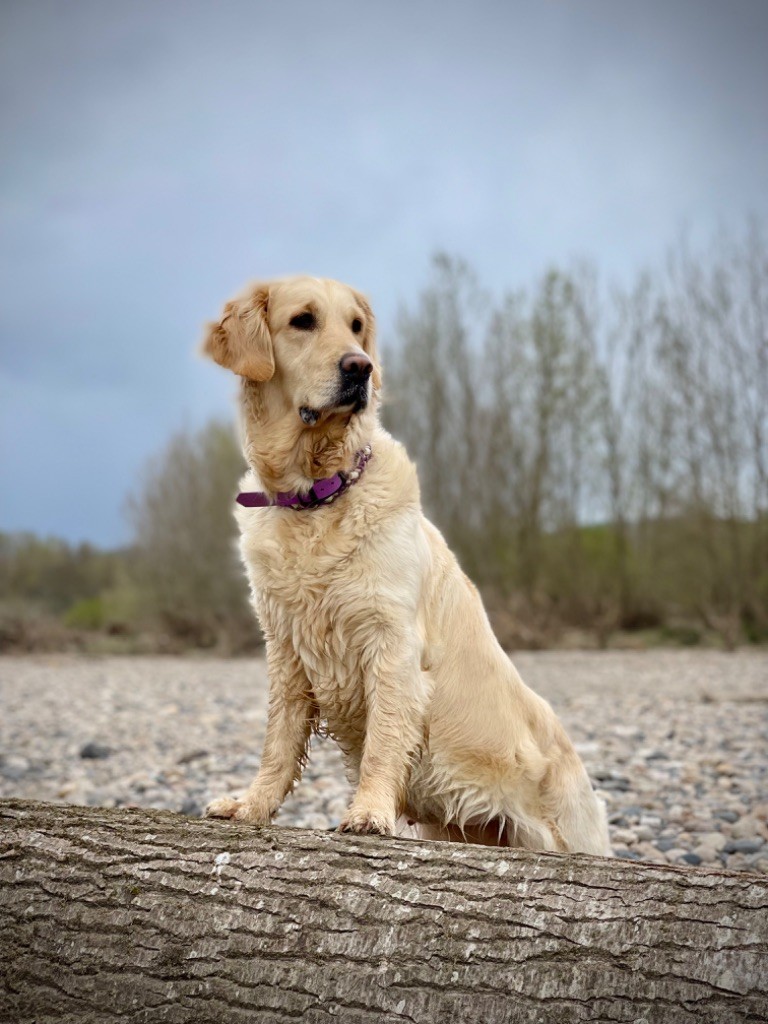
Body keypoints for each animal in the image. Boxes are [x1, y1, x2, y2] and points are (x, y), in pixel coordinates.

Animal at [202, 274, 614, 856]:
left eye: (356, 327)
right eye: (302, 320)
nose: (360, 368)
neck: (315, 498)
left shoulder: (391, 643)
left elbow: (383, 739)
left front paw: (368, 813)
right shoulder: (285, 647)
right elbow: (278, 741)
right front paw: (251, 806)